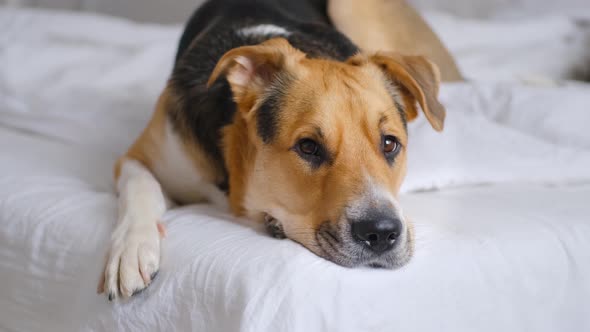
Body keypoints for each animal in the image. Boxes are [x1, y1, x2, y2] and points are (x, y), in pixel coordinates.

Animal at [98, 0, 462, 298]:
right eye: (308, 147)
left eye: (389, 143)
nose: (382, 233)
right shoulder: (138, 156)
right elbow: (141, 185)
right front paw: (131, 249)